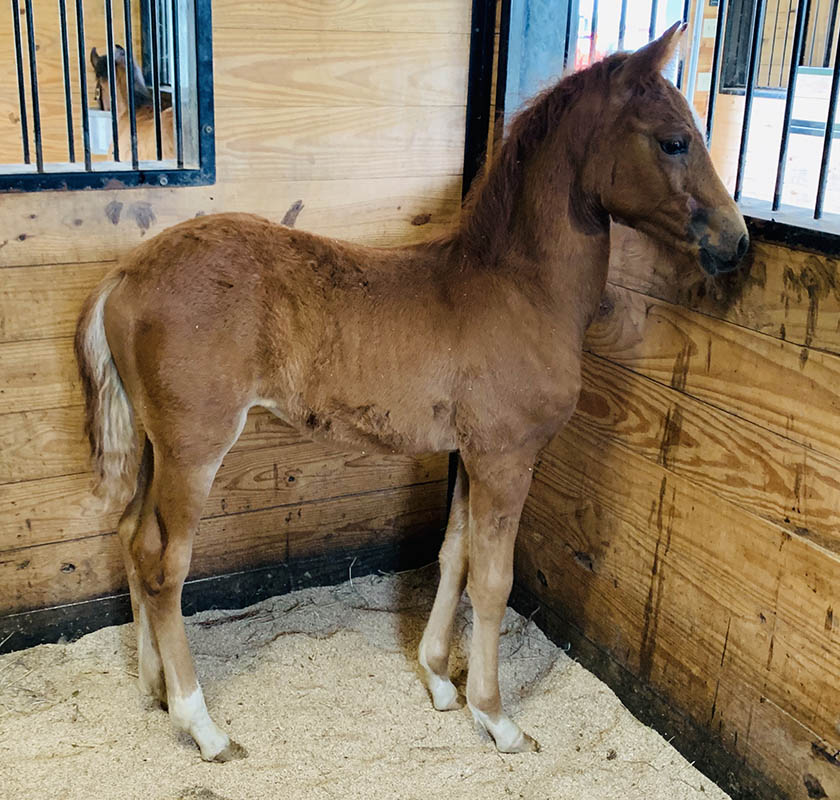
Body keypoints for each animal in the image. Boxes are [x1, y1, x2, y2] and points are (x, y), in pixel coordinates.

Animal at [74, 23, 748, 761]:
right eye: (674, 140)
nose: (737, 241)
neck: (518, 289)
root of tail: (125, 275)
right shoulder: (507, 459)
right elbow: (493, 580)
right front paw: (497, 717)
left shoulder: (472, 456)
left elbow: (453, 556)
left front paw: (439, 680)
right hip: (193, 452)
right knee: (165, 568)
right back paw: (201, 724)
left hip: (153, 446)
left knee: (132, 540)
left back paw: (152, 687)